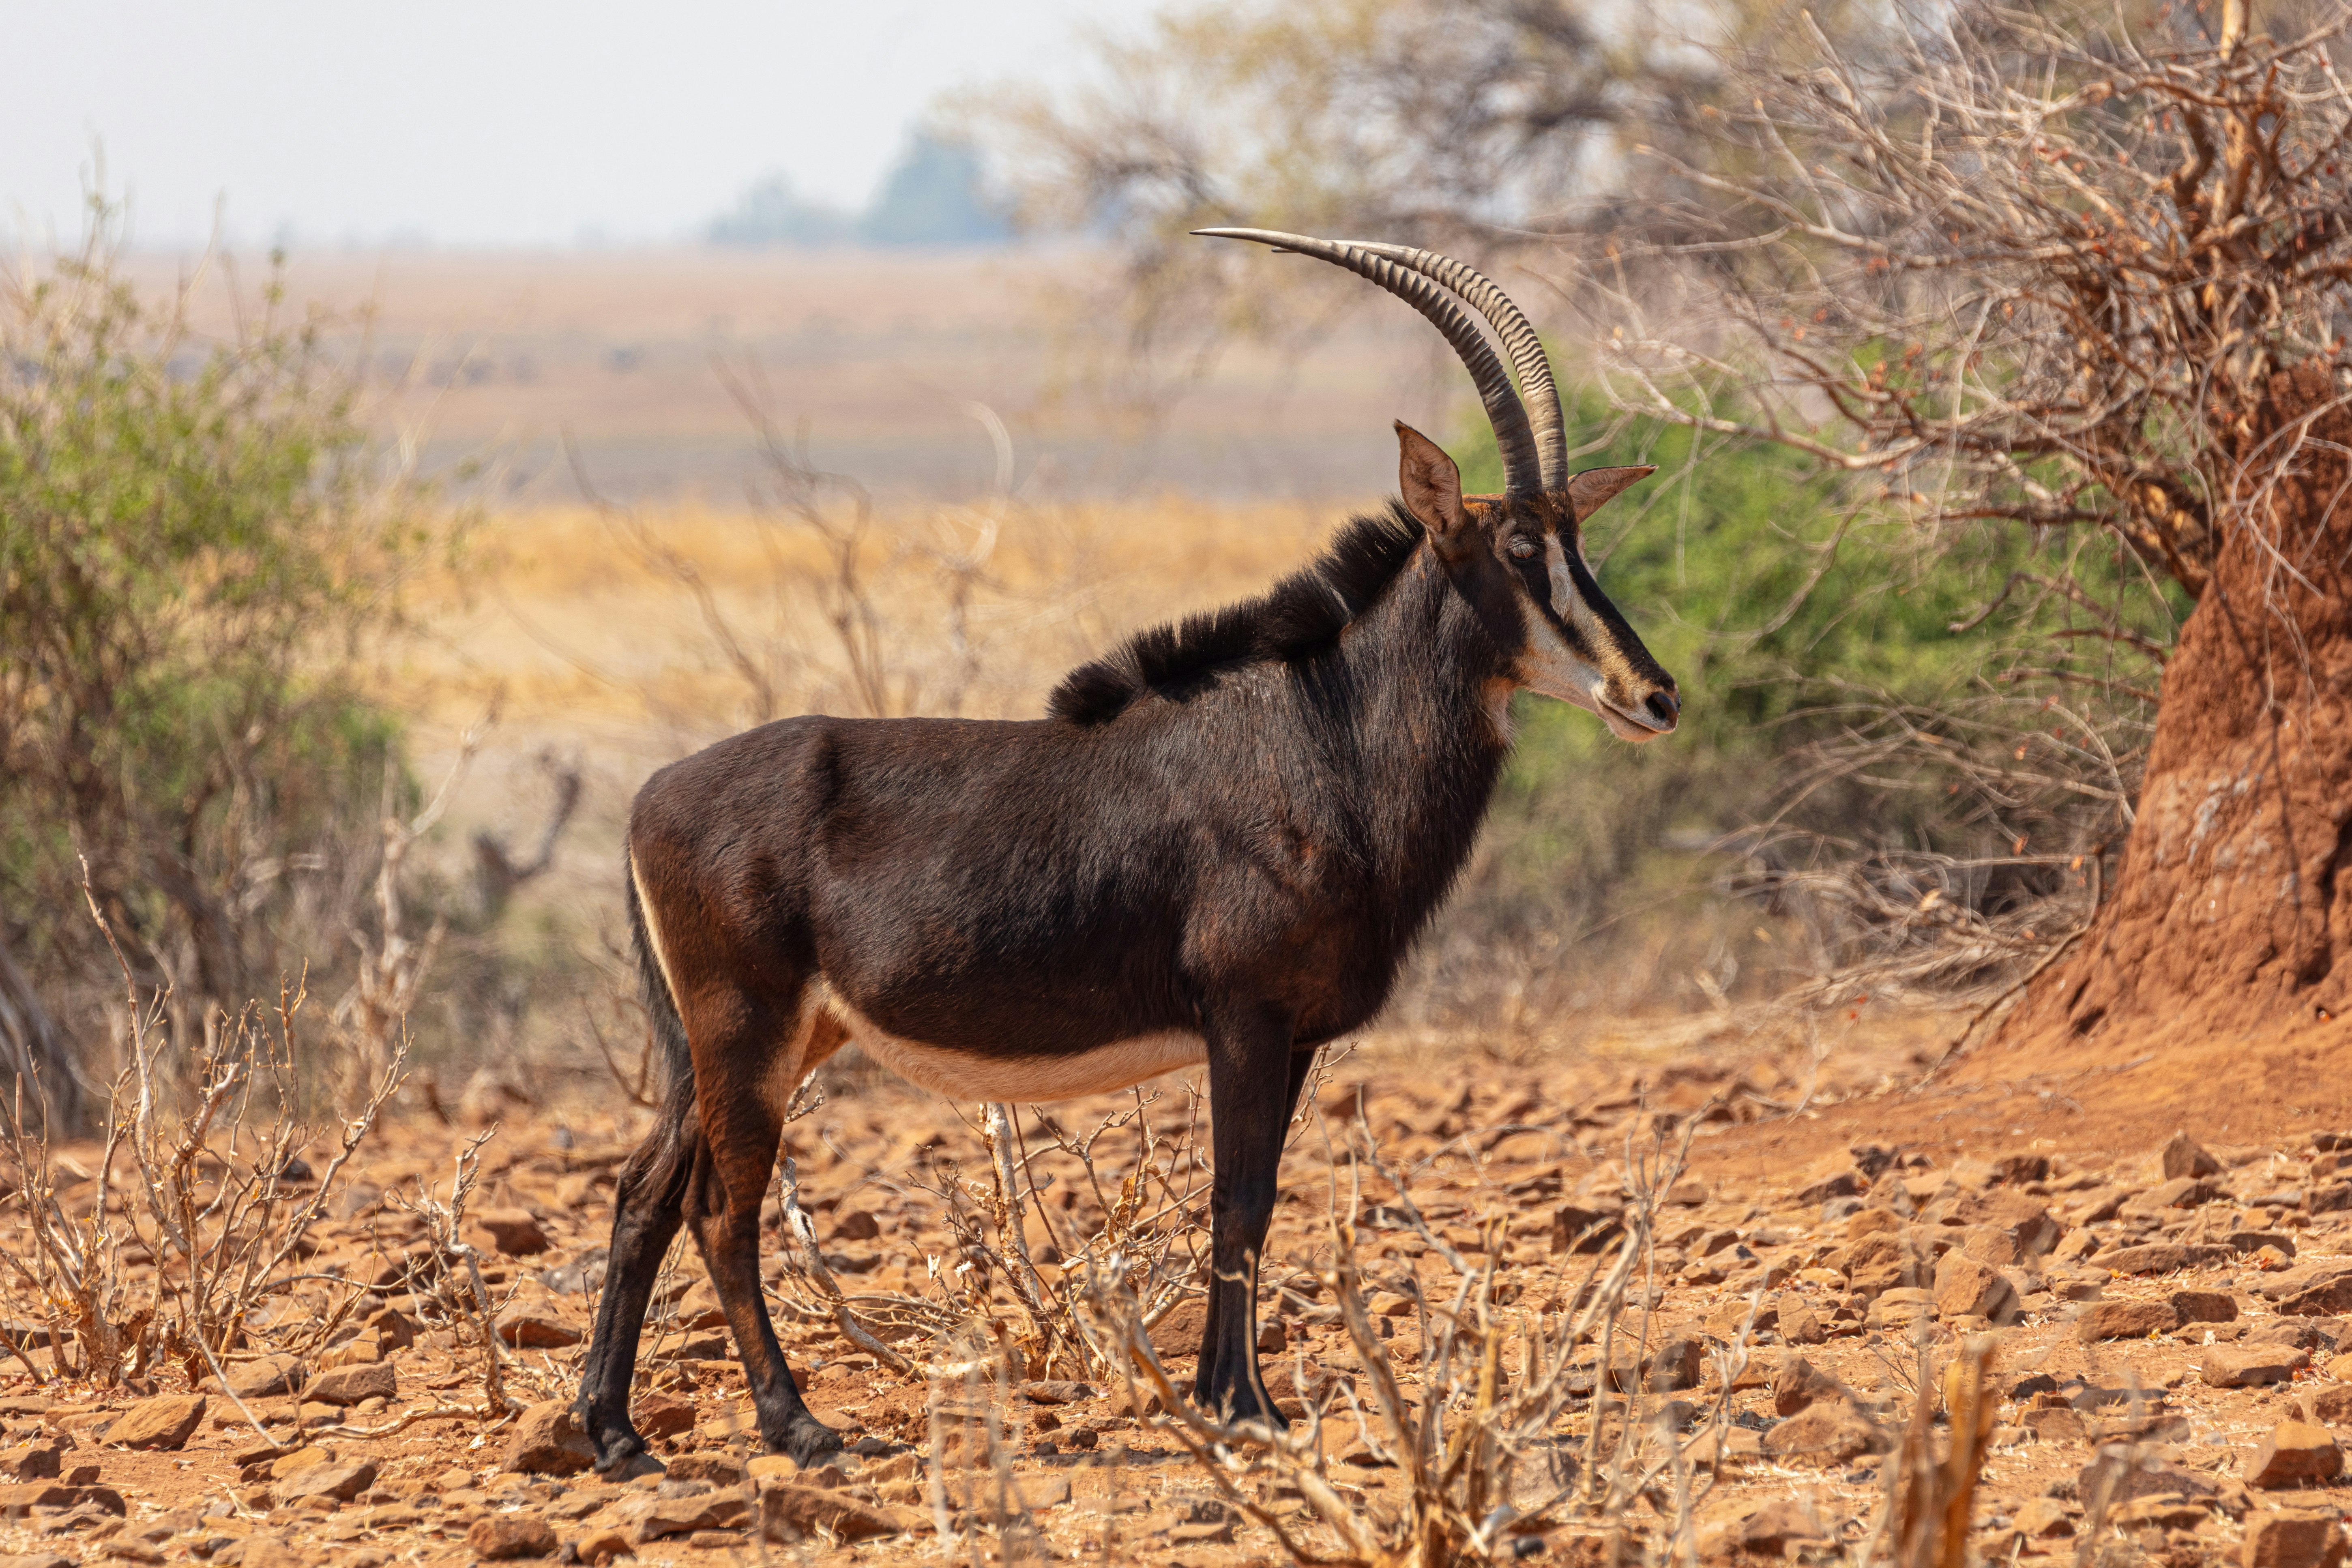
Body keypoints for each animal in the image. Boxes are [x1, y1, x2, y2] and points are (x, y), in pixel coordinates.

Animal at [576, 230, 1684, 1476]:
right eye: (1518, 545)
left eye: (1580, 540)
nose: (1653, 694)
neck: (1319, 736)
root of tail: (651, 796)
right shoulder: (1244, 1016)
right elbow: (1237, 1200)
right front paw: (1239, 1404)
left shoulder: (1295, 1034)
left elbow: (1256, 1198)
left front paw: (1235, 1395)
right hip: (747, 1031)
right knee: (721, 1209)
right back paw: (796, 1423)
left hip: (741, 1043)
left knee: (644, 1191)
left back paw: (614, 1430)